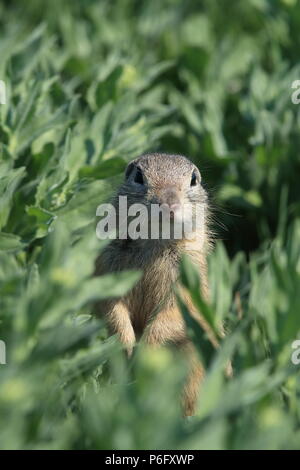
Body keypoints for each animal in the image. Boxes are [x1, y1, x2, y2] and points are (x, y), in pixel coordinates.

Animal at [95, 151, 219, 414]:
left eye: (194, 179)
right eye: (138, 176)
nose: (169, 205)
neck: (156, 240)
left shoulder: (187, 285)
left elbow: (172, 316)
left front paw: (146, 350)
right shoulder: (106, 268)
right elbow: (111, 308)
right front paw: (127, 346)